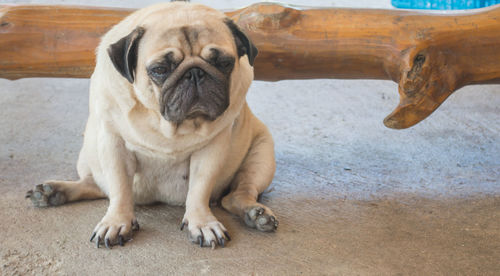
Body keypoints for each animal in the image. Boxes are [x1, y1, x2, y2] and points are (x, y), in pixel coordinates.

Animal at [25, 1, 278, 248]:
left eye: (224, 63)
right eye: (160, 70)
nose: (195, 73)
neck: (168, 126)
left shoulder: (212, 149)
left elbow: (199, 189)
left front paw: (202, 222)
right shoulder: (113, 143)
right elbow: (119, 188)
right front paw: (116, 221)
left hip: (262, 155)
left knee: (237, 194)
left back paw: (256, 214)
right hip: (87, 155)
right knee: (96, 184)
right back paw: (52, 192)